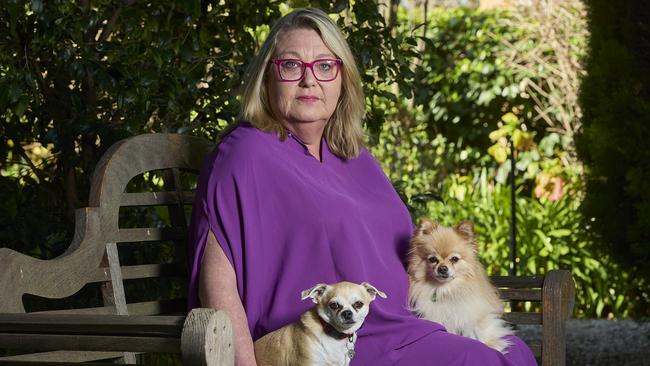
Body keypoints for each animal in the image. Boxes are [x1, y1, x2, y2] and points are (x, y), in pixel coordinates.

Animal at [404, 219, 512, 354]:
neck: (447, 290)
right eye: (433, 259)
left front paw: (492, 345)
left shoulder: (473, 312)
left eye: (454, 259)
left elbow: (480, 329)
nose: (442, 268)